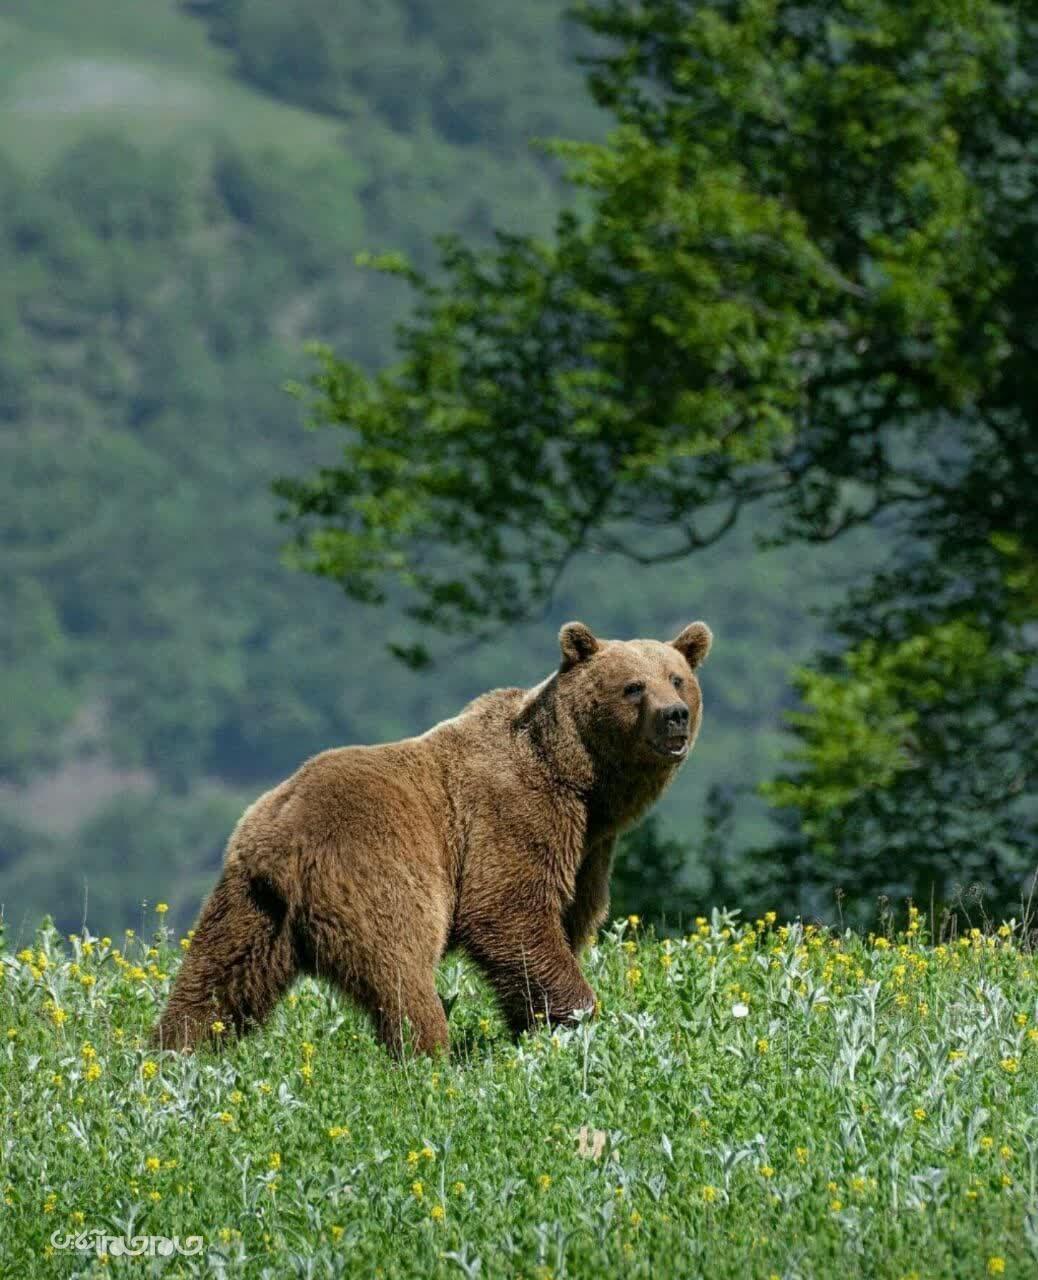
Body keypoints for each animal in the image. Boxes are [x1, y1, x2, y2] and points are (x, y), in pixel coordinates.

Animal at [156, 614, 716, 1054]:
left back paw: (178, 1050)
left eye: (677, 678)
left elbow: (570, 916)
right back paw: (428, 1051)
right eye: (633, 686)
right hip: (377, 866)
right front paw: (576, 1017)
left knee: (218, 978)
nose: (674, 716)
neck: (581, 781)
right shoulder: (513, 816)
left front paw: (536, 1026)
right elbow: (509, 911)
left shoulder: (590, 849)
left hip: (250, 904)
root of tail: (281, 842)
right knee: (401, 967)